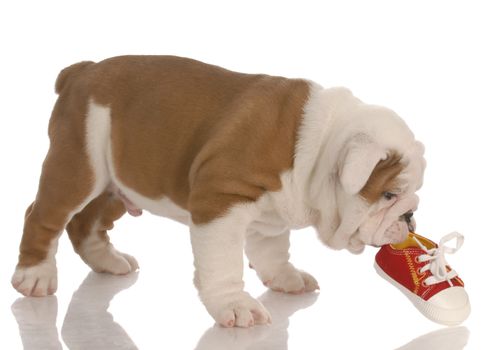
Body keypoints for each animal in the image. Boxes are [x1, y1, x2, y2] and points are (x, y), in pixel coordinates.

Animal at [11, 55, 426, 328]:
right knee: (43, 216)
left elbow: (273, 250)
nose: (410, 216)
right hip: (79, 166)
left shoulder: (272, 214)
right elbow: (224, 262)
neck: (317, 146)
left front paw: (285, 279)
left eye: (408, 197)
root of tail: (83, 70)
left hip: (117, 182)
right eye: (389, 195)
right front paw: (235, 305)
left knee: (87, 224)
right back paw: (35, 276)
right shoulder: (219, 201)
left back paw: (108, 262)